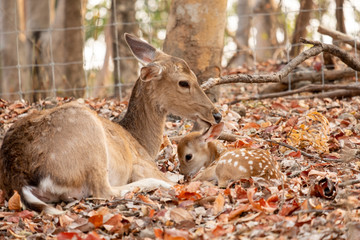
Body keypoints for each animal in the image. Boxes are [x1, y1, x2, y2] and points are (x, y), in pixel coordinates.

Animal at [0, 33, 221, 214]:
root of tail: (19, 179)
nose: (217, 114)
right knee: (104, 191)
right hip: (90, 138)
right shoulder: (143, 164)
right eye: (184, 82)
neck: (141, 142)